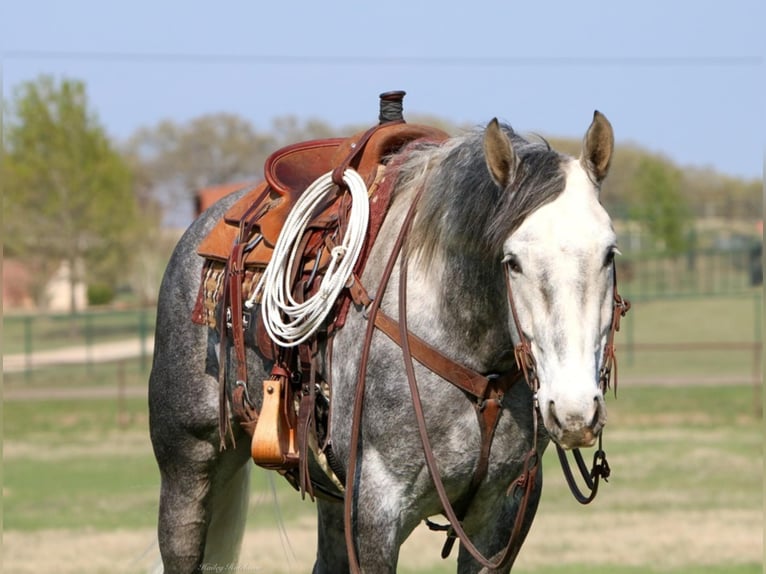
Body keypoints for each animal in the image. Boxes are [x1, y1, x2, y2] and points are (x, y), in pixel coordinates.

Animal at [148, 110, 616, 572]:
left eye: (610, 253)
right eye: (512, 261)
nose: (575, 412)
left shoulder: (502, 515)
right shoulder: (376, 509)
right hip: (187, 467)